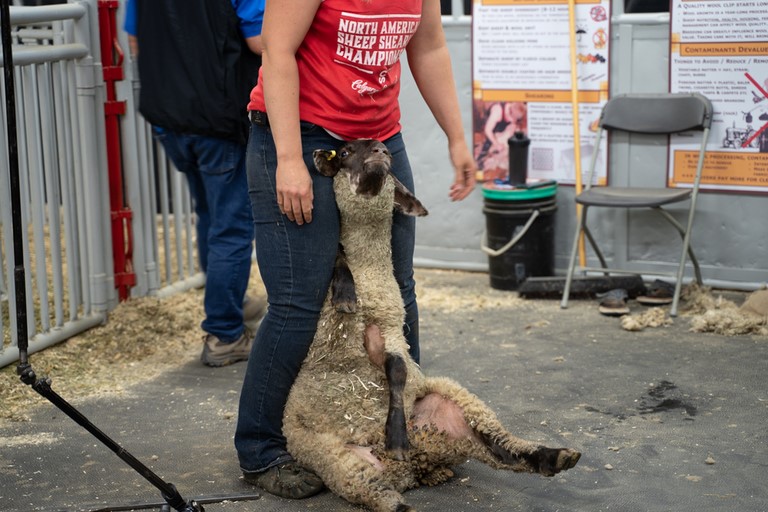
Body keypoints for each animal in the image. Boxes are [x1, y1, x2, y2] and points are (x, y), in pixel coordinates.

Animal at [282, 139, 581, 512]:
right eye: (346, 152)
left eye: (387, 155)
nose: (381, 151)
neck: (370, 271)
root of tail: (415, 468)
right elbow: (337, 255)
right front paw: (346, 296)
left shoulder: (391, 330)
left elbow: (397, 371)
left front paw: (396, 436)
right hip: (338, 462)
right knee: (377, 492)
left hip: (454, 405)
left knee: (500, 447)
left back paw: (555, 457)